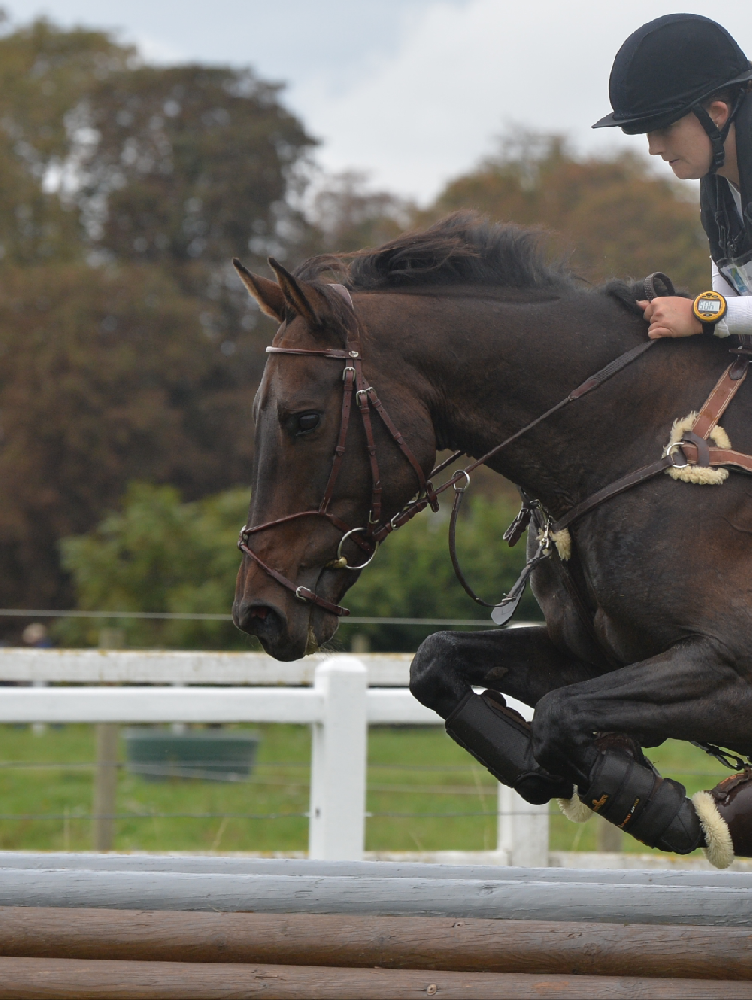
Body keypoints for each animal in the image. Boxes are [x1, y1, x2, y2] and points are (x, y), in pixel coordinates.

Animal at [232, 211, 752, 868]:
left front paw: (665, 804)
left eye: (304, 419)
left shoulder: (730, 669)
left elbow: (559, 714)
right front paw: (572, 769)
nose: (258, 611)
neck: (639, 442)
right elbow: (439, 662)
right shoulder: (594, 655)